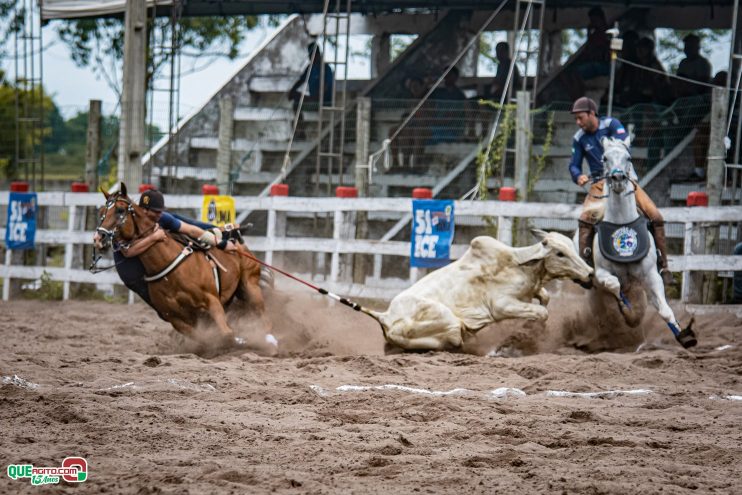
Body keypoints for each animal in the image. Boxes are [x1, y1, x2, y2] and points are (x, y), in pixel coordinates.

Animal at [93, 184, 274, 350]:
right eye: (101, 212)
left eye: (120, 210)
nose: (99, 237)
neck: (170, 269)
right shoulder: (176, 319)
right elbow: (205, 338)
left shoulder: (212, 300)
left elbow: (227, 334)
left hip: (250, 286)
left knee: (263, 316)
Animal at [580, 138, 696, 348]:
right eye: (604, 158)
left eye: (628, 157)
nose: (618, 178)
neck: (621, 222)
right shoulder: (602, 274)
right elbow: (615, 287)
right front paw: (629, 314)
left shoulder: (651, 275)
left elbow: (664, 310)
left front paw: (683, 336)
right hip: (594, 291)